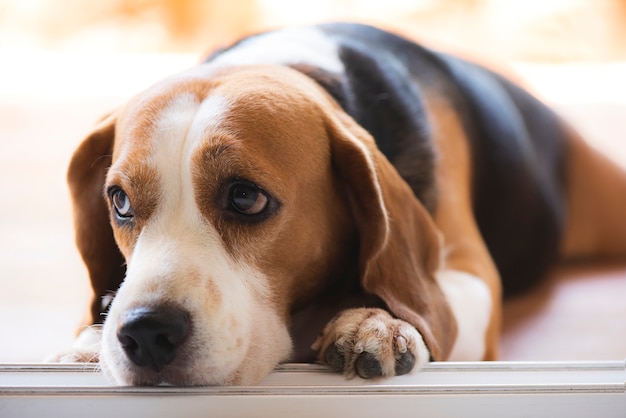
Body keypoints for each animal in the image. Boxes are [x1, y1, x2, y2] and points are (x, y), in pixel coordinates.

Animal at [56, 22, 624, 386]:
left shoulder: (469, 277)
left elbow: (438, 310)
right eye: (120, 201)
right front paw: (89, 341)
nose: (145, 332)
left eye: (245, 197)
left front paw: (379, 322)